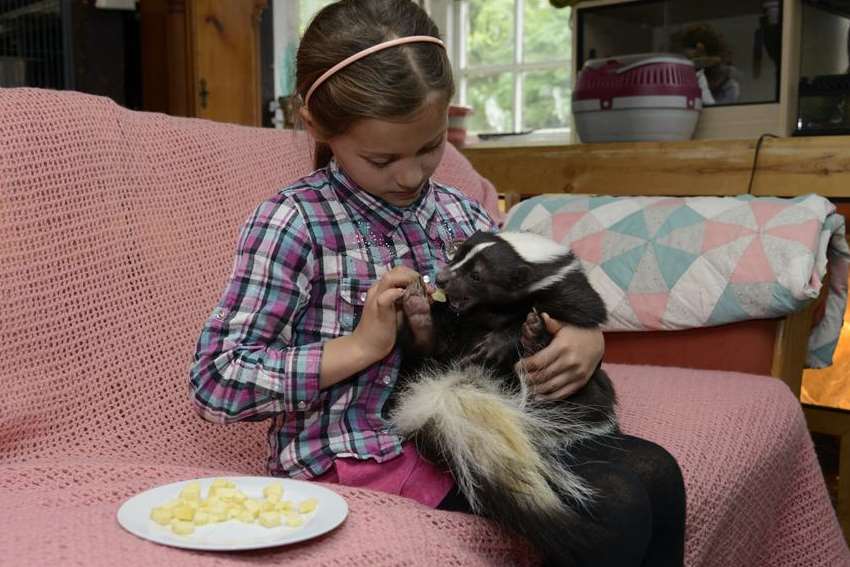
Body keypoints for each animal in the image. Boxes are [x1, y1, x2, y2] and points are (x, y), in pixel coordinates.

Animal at [390, 232, 616, 567]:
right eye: (457, 254)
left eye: (477, 276)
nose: (442, 278)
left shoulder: (571, 294)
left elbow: (576, 315)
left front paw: (505, 338)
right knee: (430, 345)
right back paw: (419, 315)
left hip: (583, 390)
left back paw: (533, 338)